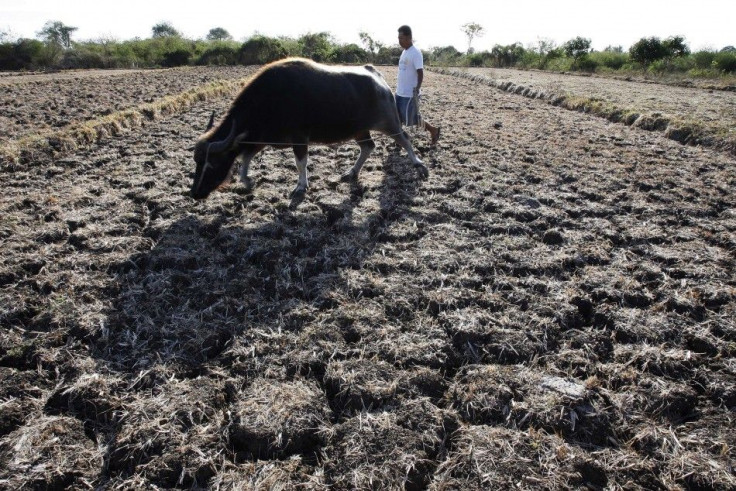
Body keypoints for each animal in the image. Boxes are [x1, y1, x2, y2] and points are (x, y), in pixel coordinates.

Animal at [193, 58, 428, 201]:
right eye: (197, 162)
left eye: (212, 163)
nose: (195, 193)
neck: (269, 99)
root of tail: (377, 78)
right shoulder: (260, 138)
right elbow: (245, 158)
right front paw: (248, 181)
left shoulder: (299, 138)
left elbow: (300, 163)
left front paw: (301, 186)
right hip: (360, 130)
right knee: (368, 147)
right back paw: (351, 172)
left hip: (389, 122)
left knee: (405, 139)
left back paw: (419, 165)